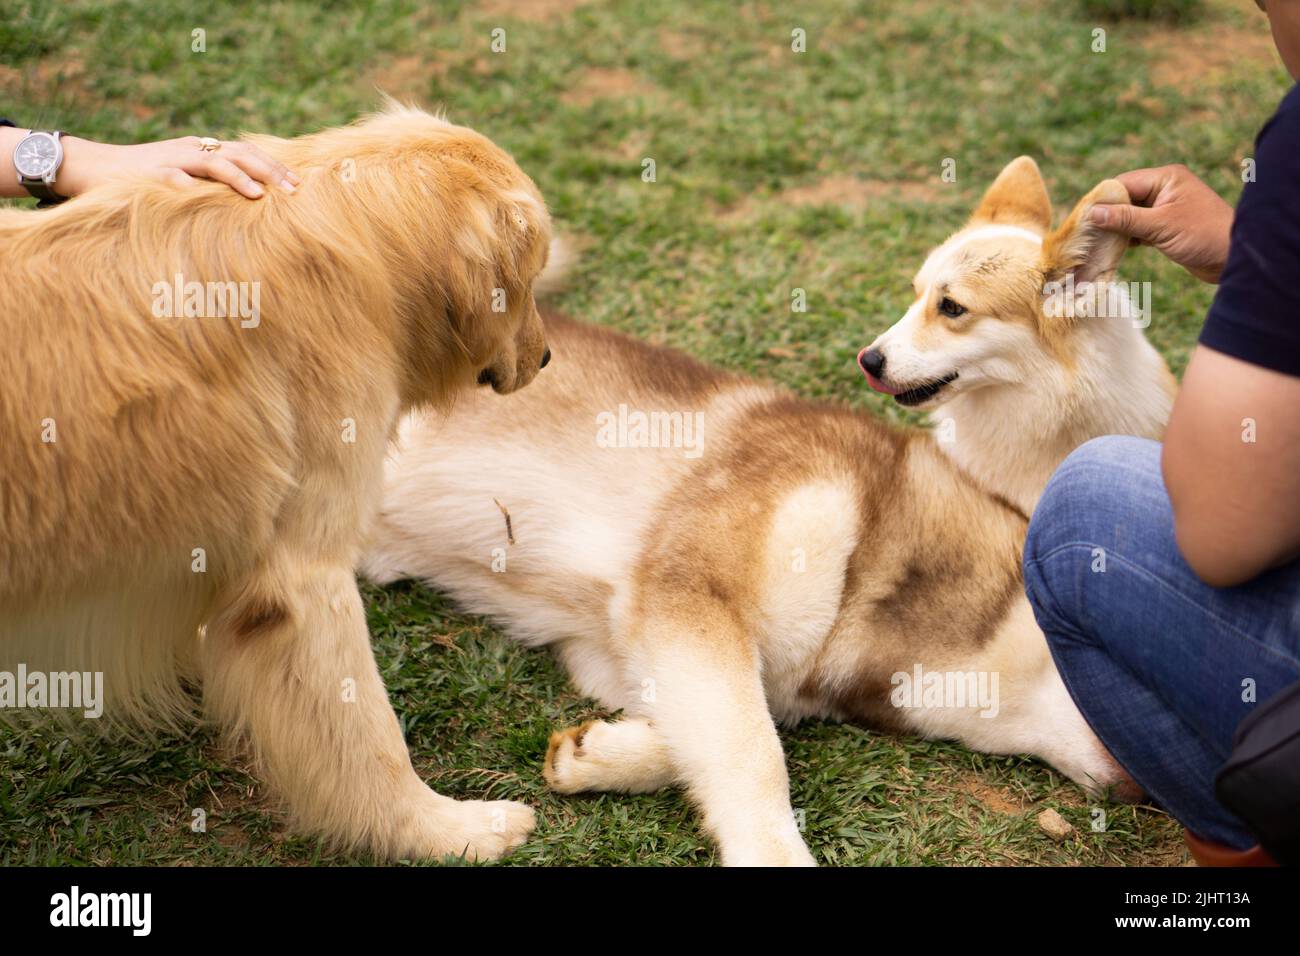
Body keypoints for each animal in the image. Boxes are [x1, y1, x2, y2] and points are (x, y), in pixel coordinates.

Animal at [0, 104, 548, 858]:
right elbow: (368, 732)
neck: (359, 236)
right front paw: (443, 830)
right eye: (531, 277)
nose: (547, 358)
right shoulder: (304, 574)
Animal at [361, 157, 1175, 868]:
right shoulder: (686, 593)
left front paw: (607, 755)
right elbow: (757, 750)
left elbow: (730, 728)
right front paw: (772, 851)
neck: (883, 561)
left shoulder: (632, 646)